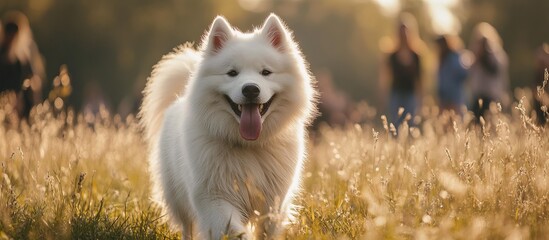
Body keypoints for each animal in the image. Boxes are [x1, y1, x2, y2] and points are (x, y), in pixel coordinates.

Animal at [139, 14, 314, 239]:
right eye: (232, 73)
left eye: (266, 72)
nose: (250, 89)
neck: (248, 147)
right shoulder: (215, 199)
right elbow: (233, 230)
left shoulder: (273, 204)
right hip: (178, 200)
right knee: (187, 227)